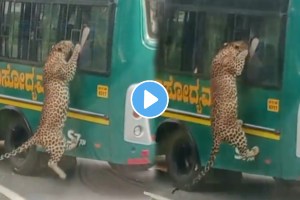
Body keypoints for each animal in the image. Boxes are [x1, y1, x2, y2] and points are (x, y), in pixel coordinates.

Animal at [0, 39, 81, 179]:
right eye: (65, 42)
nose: (70, 41)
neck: (53, 54)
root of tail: (37, 134)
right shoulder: (66, 71)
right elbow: (71, 64)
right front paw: (77, 47)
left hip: (59, 139)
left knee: (64, 149)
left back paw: (75, 142)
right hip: (57, 142)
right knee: (51, 162)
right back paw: (62, 174)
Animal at [172, 38, 262, 193]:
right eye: (241, 42)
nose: (246, 41)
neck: (223, 51)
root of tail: (216, 136)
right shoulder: (235, 68)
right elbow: (239, 62)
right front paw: (245, 52)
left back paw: (240, 122)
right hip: (238, 134)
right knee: (243, 152)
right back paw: (254, 150)